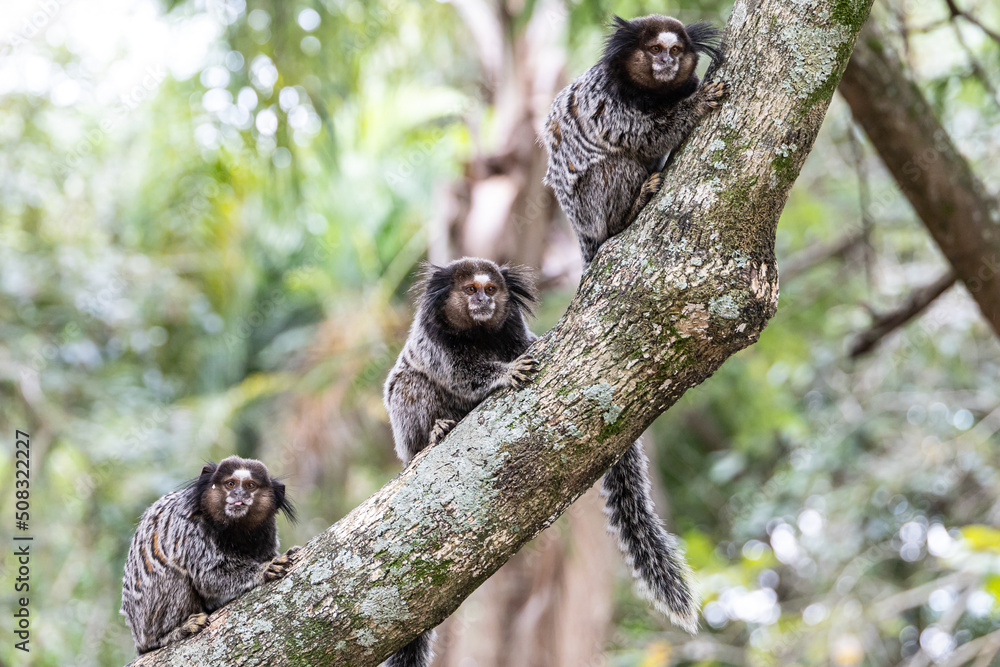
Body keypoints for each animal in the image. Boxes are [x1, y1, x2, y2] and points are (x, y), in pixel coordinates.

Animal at [120, 455, 300, 654]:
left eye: (250, 486)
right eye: (230, 484)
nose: (239, 495)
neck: (235, 531)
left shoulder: (267, 531)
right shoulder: (190, 529)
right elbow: (209, 576)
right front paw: (264, 569)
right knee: (174, 577)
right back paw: (172, 633)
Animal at [382, 257, 539, 667]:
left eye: (491, 289)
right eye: (470, 290)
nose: (483, 300)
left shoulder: (512, 327)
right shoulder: (436, 341)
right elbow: (462, 375)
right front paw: (504, 373)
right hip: (406, 432)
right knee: (409, 384)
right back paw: (433, 433)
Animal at [542, 14, 728, 264]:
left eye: (676, 49)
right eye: (655, 49)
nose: (668, 61)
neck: (655, 94)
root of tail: (580, 230)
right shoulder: (607, 103)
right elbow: (647, 137)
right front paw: (697, 103)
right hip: (588, 210)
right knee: (616, 167)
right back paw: (628, 212)